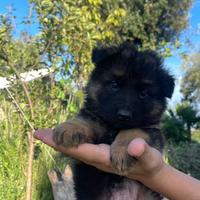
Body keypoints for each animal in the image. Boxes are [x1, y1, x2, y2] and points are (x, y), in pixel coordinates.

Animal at [52, 43, 174, 200]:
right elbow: (87, 120)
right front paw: (71, 127)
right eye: (114, 85)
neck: (114, 128)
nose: (124, 115)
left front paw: (123, 150)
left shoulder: (153, 132)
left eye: (144, 93)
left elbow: (133, 130)